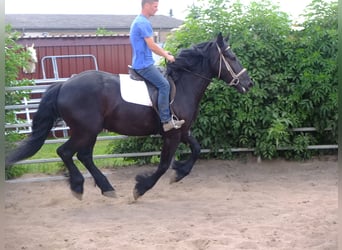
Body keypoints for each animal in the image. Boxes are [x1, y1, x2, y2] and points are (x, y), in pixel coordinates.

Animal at [4, 33, 251, 201]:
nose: (249, 83)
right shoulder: (171, 135)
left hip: (90, 132)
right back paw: (79, 186)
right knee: (65, 152)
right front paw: (141, 187)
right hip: (85, 130)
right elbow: (163, 165)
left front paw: (179, 172)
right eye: (232, 56)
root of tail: (64, 85)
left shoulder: (181, 130)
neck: (181, 85)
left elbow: (197, 150)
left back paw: (106, 187)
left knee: (83, 156)